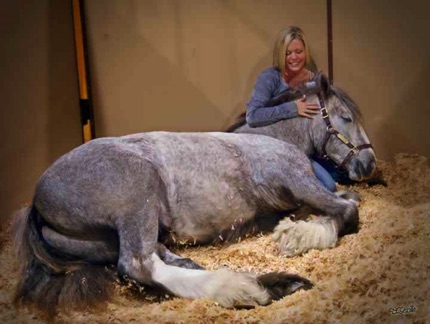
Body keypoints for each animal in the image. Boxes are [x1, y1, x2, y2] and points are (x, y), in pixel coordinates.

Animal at [12, 73, 376, 316]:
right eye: (346, 117)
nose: (369, 163)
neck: (272, 139)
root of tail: (36, 203)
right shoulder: (299, 181)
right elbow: (347, 210)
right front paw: (300, 236)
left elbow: (347, 201)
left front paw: (297, 229)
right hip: (137, 196)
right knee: (139, 264)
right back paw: (248, 288)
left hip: (110, 238)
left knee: (162, 258)